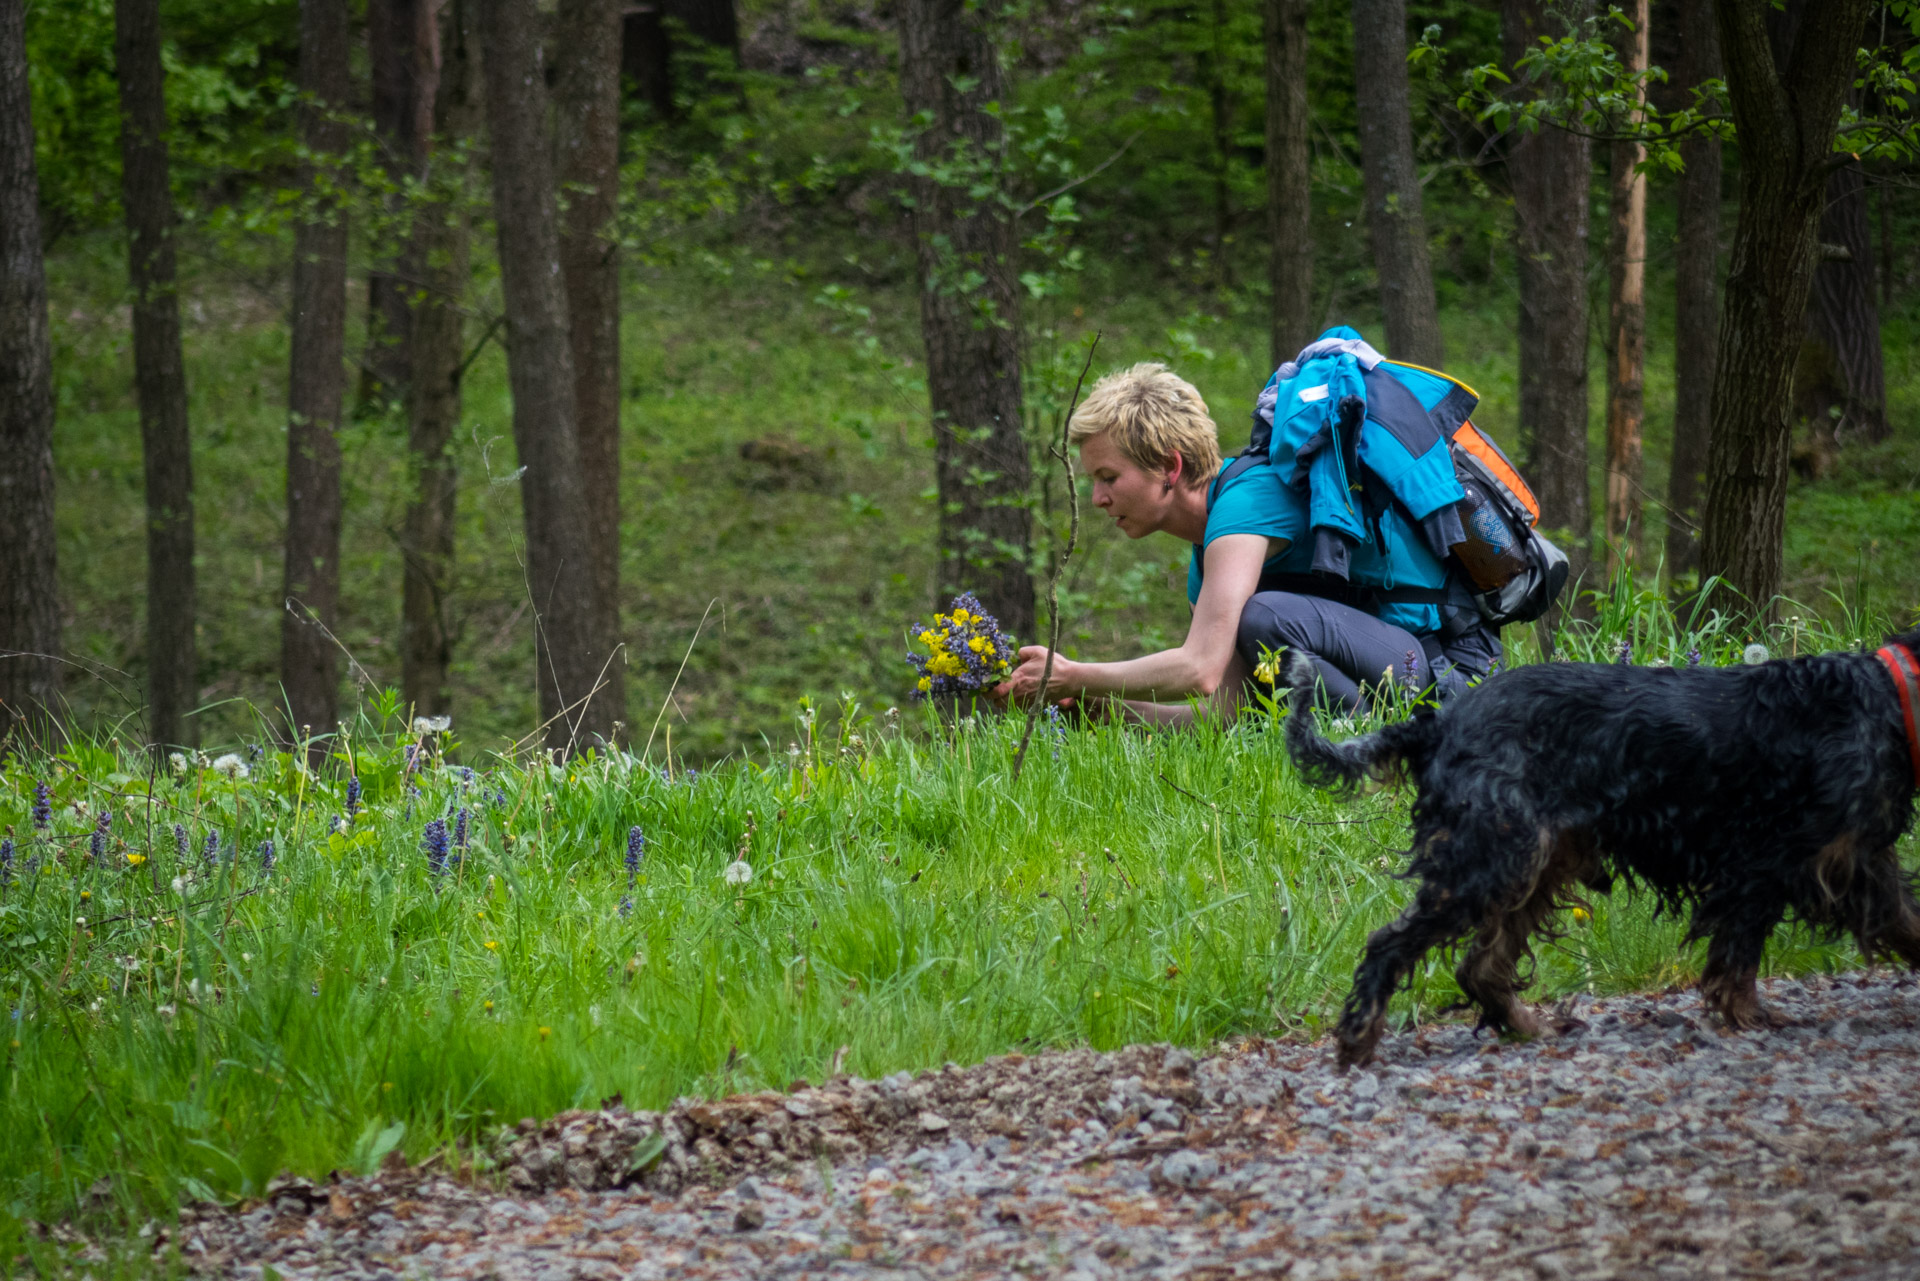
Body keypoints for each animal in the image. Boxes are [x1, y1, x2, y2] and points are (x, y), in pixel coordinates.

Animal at [1282, 633, 1920, 1075]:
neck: (1889, 696)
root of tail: (1442, 721)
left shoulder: (1862, 862)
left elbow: (1908, 920)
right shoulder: (1770, 862)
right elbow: (1738, 957)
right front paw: (1748, 1016)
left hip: (1538, 860)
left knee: (1479, 965)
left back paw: (1524, 1024)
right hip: (1495, 858)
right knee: (1390, 944)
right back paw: (1358, 1039)